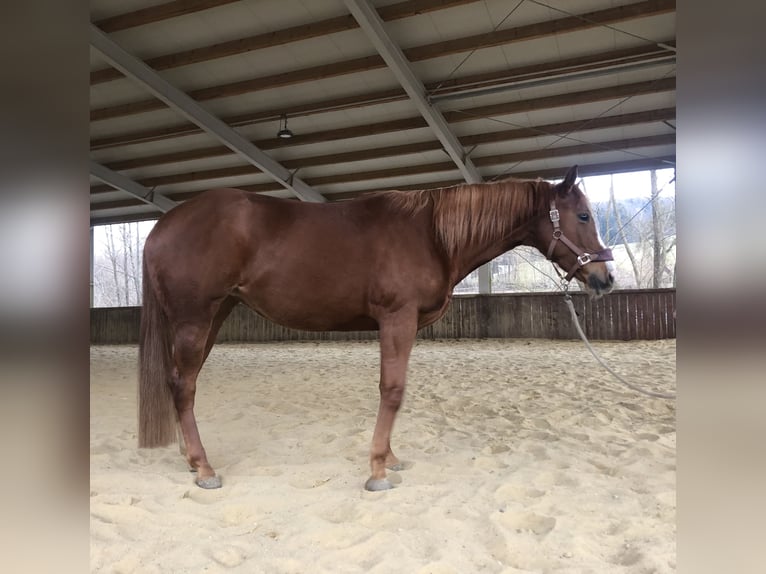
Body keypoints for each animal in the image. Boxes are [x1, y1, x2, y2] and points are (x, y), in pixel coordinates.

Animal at [140, 165, 616, 490]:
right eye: (583, 216)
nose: (605, 278)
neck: (432, 234)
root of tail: (163, 225)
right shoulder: (397, 318)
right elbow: (392, 391)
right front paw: (377, 471)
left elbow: (395, 390)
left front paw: (391, 458)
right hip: (195, 319)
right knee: (183, 385)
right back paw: (204, 467)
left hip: (214, 316)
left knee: (182, 382)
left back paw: (190, 457)